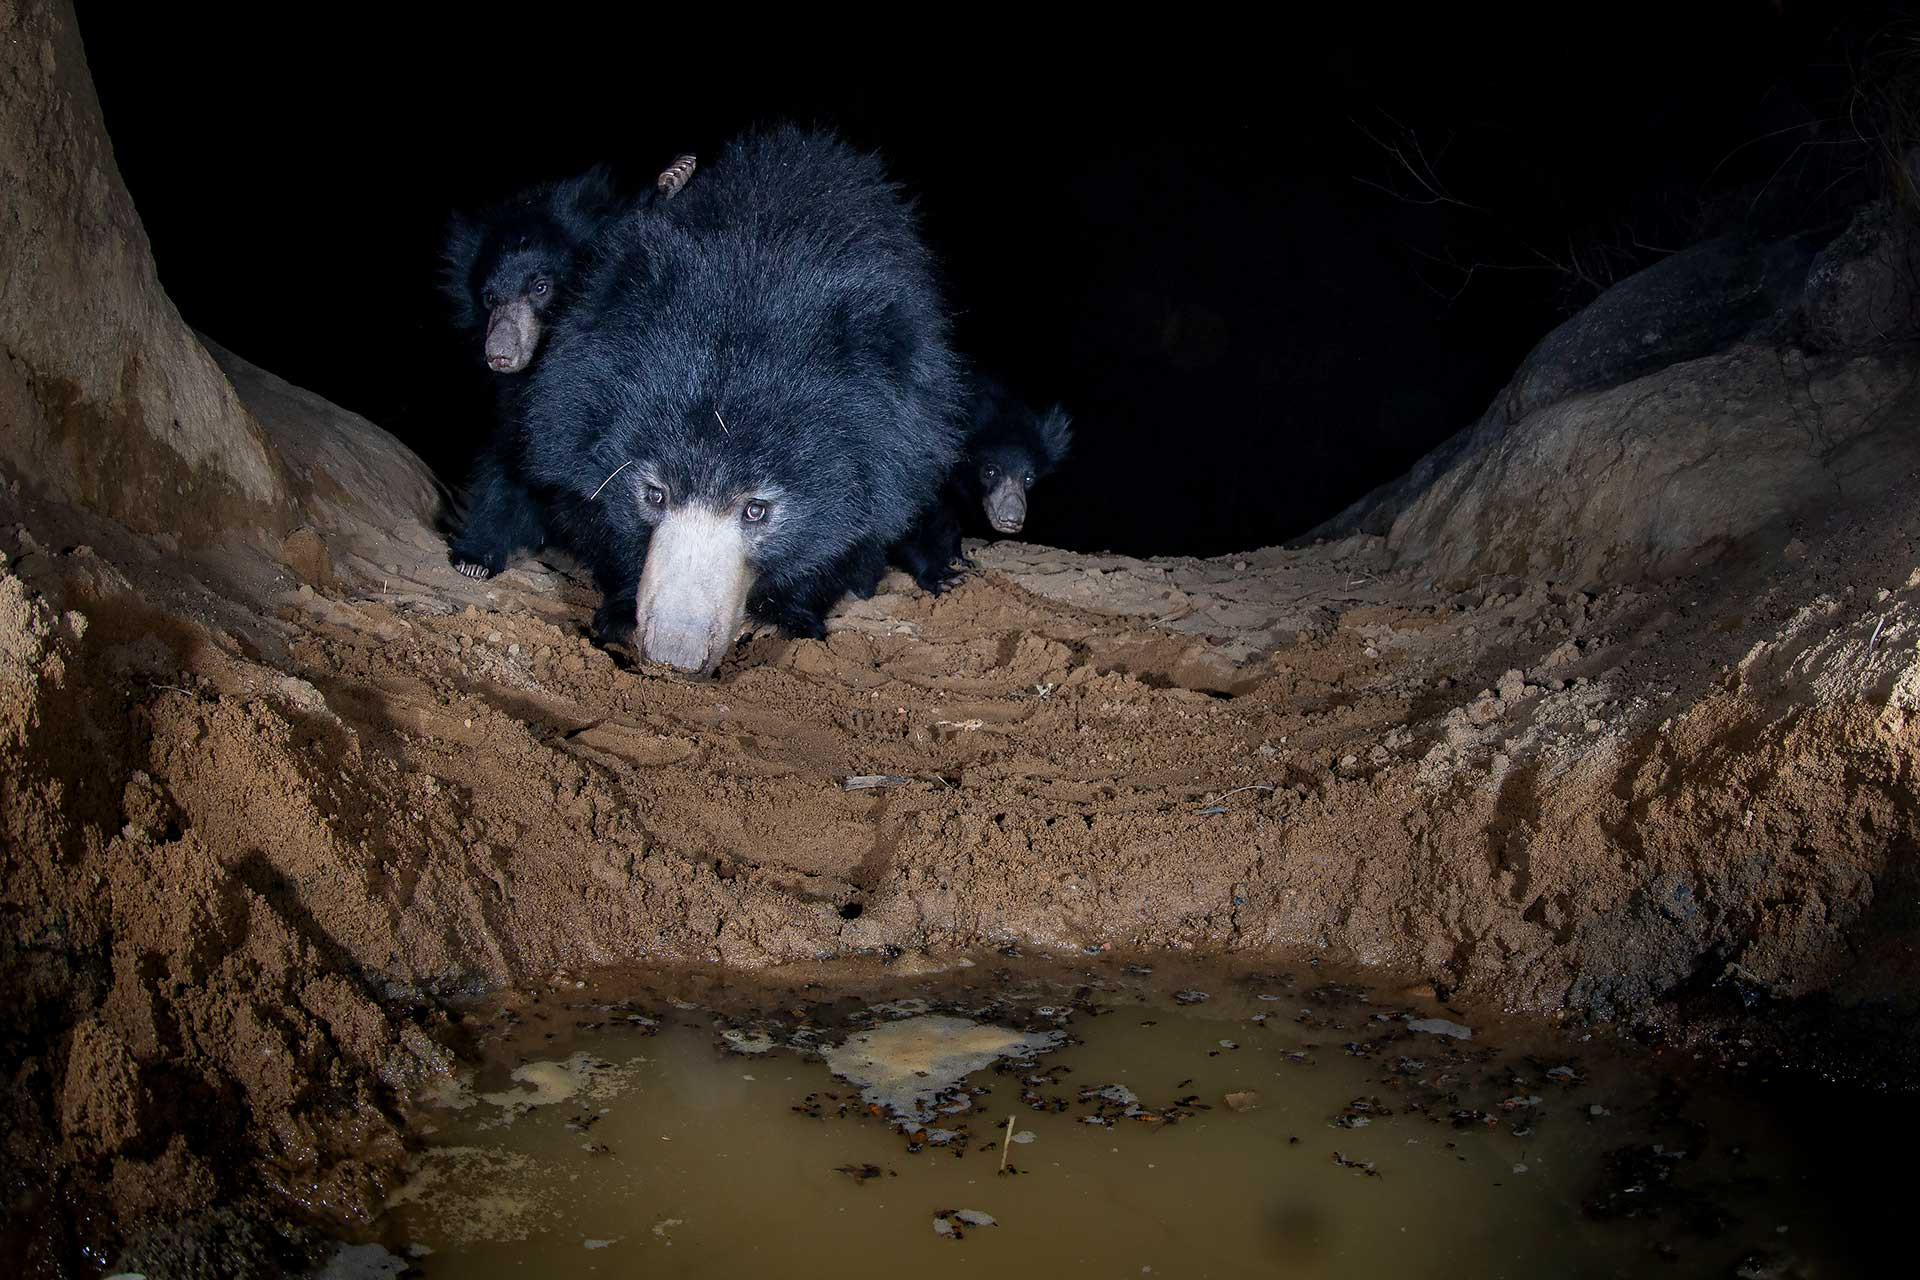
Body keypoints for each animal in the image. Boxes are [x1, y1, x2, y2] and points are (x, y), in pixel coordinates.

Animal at [514, 125, 964, 673]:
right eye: (654, 494)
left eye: (756, 510)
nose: (675, 657)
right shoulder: (568, 407)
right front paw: (620, 615)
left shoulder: (901, 436)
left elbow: (856, 530)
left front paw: (781, 617)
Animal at [888, 376, 1072, 592]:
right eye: (990, 472)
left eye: (1028, 478)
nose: (1011, 520)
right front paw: (948, 578)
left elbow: (951, 522)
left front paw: (959, 560)